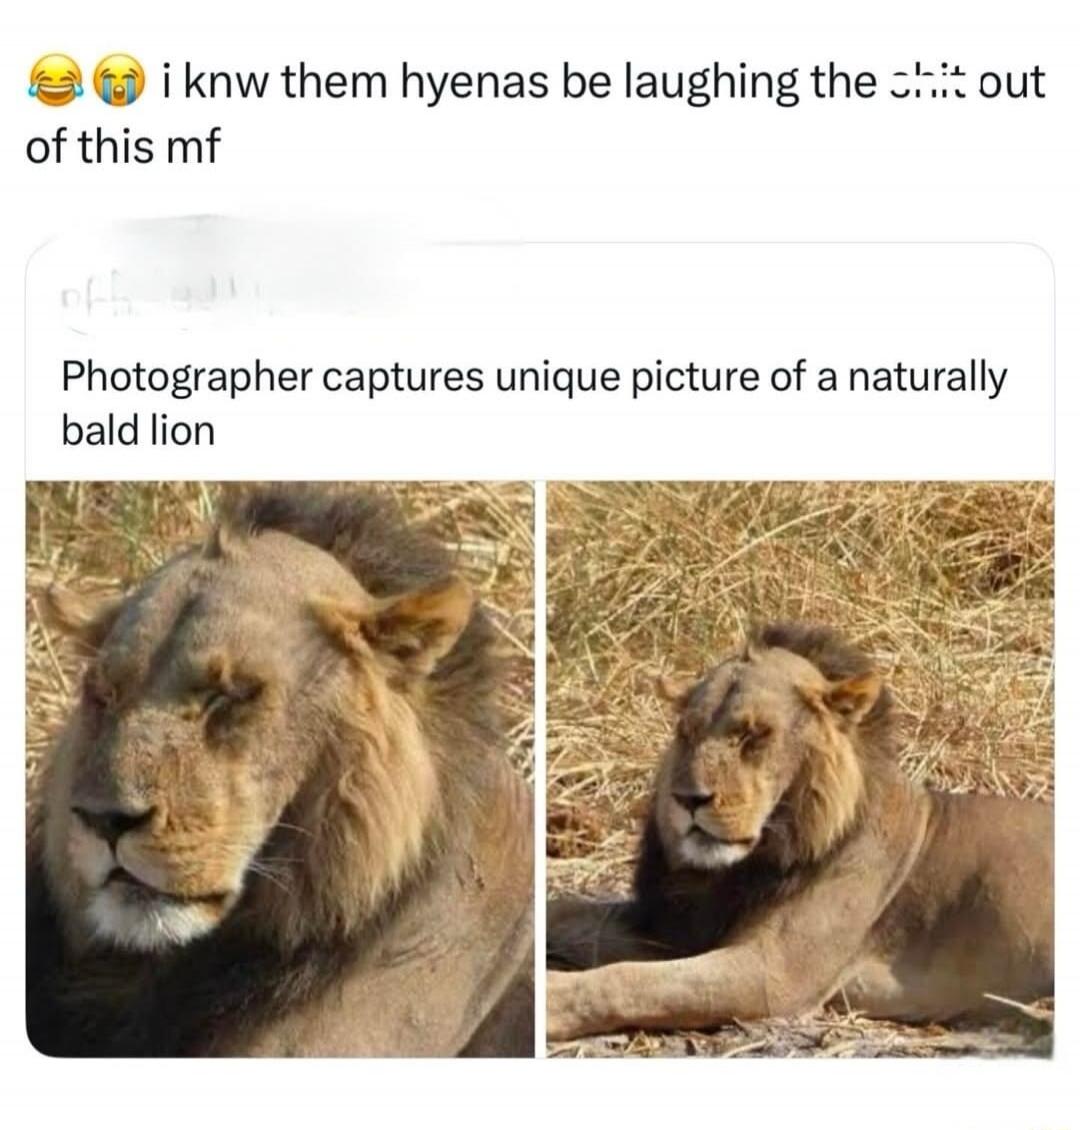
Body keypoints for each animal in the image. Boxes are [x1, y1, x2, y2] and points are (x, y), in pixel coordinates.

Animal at [547, 623, 1052, 1042]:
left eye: (754, 735)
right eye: (686, 732)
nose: (687, 799)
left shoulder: (773, 974)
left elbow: (632, 979)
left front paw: (550, 1000)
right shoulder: (677, 928)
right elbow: (567, 912)